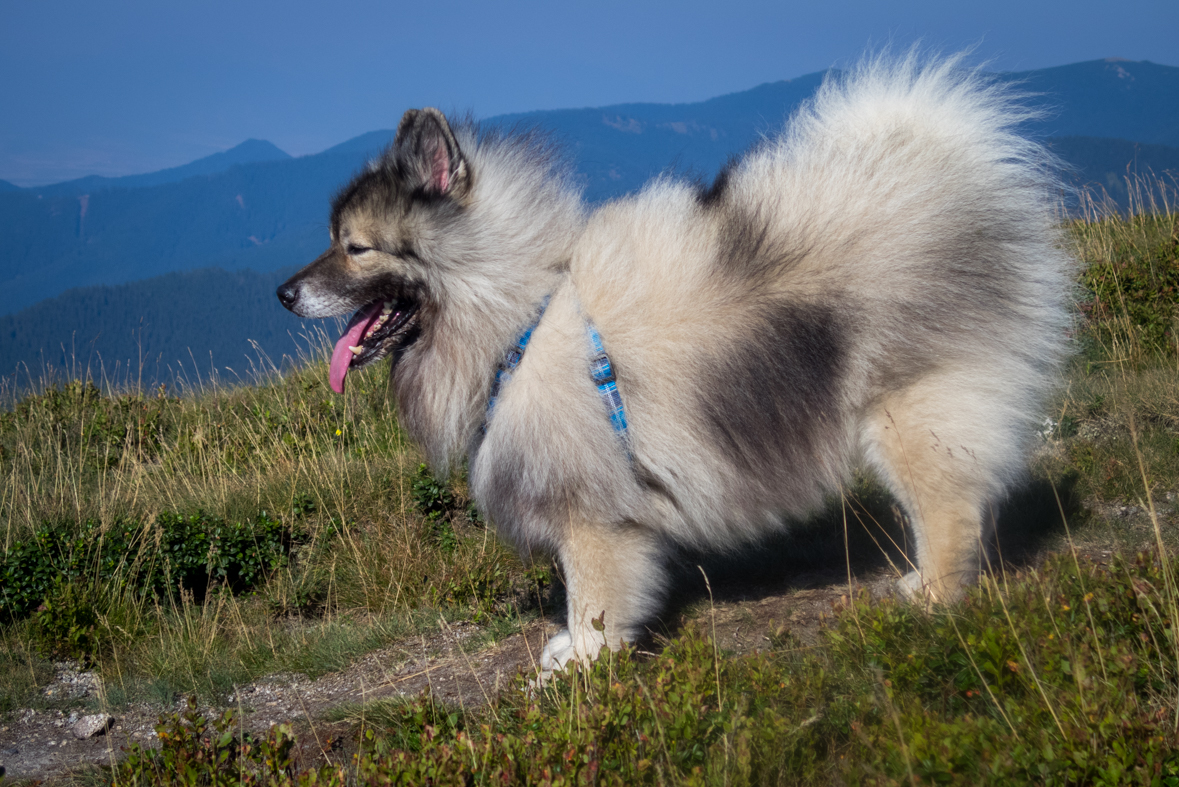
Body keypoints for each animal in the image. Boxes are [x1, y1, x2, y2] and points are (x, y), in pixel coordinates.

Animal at [280, 53, 1075, 669]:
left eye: (355, 247)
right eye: (334, 239)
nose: (284, 293)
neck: (517, 318)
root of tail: (950, 174)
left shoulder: (588, 516)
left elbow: (591, 595)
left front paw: (585, 663)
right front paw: (577, 652)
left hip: (907, 415)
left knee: (948, 510)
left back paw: (933, 597)